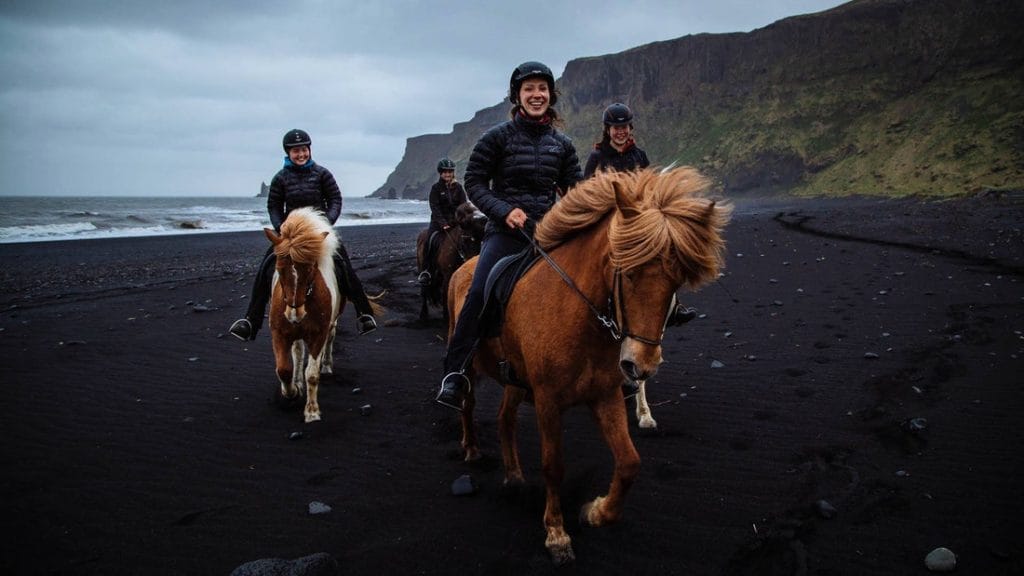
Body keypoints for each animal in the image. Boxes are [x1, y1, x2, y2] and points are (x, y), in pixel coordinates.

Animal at [264, 206, 344, 422]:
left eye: (309, 269)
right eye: (279, 269)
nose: (295, 314)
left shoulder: (318, 334)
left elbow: (313, 374)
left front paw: (312, 411)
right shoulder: (279, 333)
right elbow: (284, 369)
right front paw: (292, 391)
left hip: (331, 324)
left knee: (330, 340)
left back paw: (326, 366)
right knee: (298, 353)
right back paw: (297, 380)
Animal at [446, 166, 729, 561]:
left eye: (676, 281)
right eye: (628, 272)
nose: (641, 365)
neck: (578, 314)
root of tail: (464, 267)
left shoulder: (605, 395)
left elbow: (629, 462)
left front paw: (596, 511)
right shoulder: (548, 401)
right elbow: (553, 466)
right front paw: (556, 534)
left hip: (516, 381)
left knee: (504, 419)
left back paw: (514, 475)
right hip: (470, 365)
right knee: (468, 404)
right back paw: (471, 447)